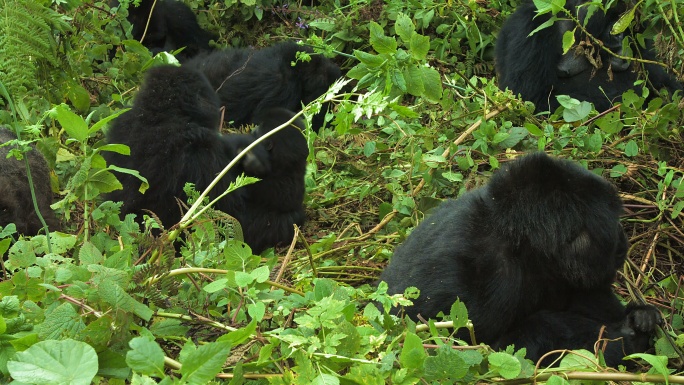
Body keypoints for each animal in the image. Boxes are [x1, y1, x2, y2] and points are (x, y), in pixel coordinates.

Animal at [380, 152, 664, 366]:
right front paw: (624, 338)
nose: (623, 241)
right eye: (612, 223)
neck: (519, 240)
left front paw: (638, 317)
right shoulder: (469, 282)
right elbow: (476, 353)